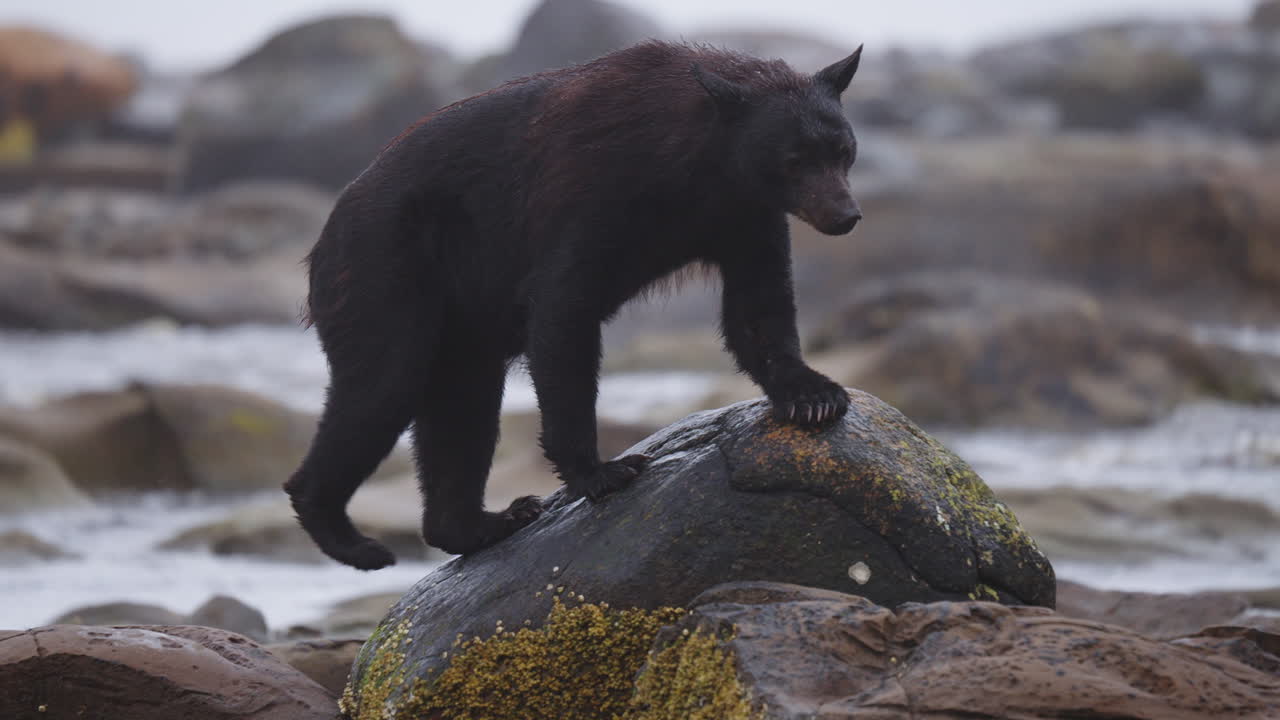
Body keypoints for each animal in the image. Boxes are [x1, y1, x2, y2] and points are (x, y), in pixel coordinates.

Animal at [285, 40, 865, 570]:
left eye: (842, 150)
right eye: (794, 159)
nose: (845, 216)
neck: (696, 160)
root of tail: (320, 241)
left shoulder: (744, 214)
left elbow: (758, 306)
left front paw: (814, 396)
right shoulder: (594, 192)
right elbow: (563, 312)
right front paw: (603, 470)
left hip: (459, 323)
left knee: (463, 408)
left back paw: (485, 523)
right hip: (386, 270)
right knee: (383, 387)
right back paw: (352, 540)